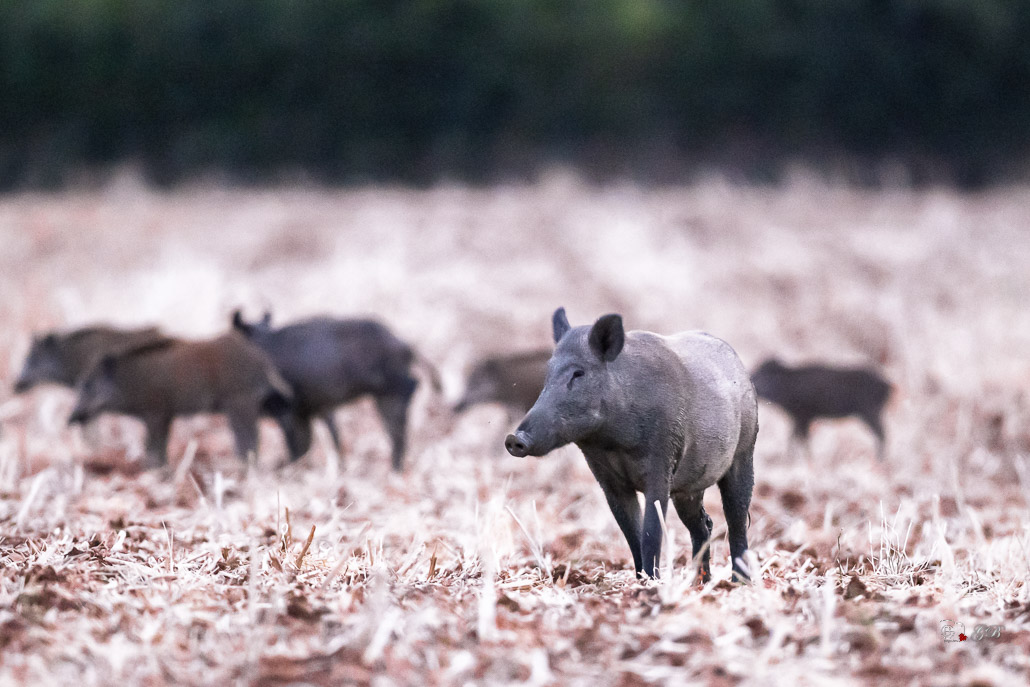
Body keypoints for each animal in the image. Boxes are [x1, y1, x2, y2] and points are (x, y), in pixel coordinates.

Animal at [69, 333, 295, 469]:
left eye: (87, 385)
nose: (71, 419)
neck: (128, 380)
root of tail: (262, 361)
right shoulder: (165, 415)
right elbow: (158, 443)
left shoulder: (155, 413)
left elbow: (153, 443)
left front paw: (153, 468)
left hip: (240, 402)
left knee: (250, 436)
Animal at [232, 311, 440, 471]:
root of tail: (405, 345)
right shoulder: (310, 410)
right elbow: (316, 439)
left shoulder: (287, 409)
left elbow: (298, 444)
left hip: (390, 388)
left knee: (406, 400)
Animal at [505, 308, 758, 583]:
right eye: (547, 375)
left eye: (578, 373)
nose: (514, 439)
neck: (612, 442)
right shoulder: (608, 480)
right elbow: (631, 534)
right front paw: (641, 580)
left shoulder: (661, 464)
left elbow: (651, 533)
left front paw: (651, 583)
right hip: (689, 487)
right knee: (704, 524)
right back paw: (699, 583)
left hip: (744, 452)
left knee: (736, 520)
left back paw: (738, 582)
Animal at [750, 358, 891, 460]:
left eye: (765, 374)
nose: (754, 383)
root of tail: (888, 386)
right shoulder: (798, 417)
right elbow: (793, 436)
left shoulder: (804, 415)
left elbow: (802, 438)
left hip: (869, 411)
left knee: (882, 433)